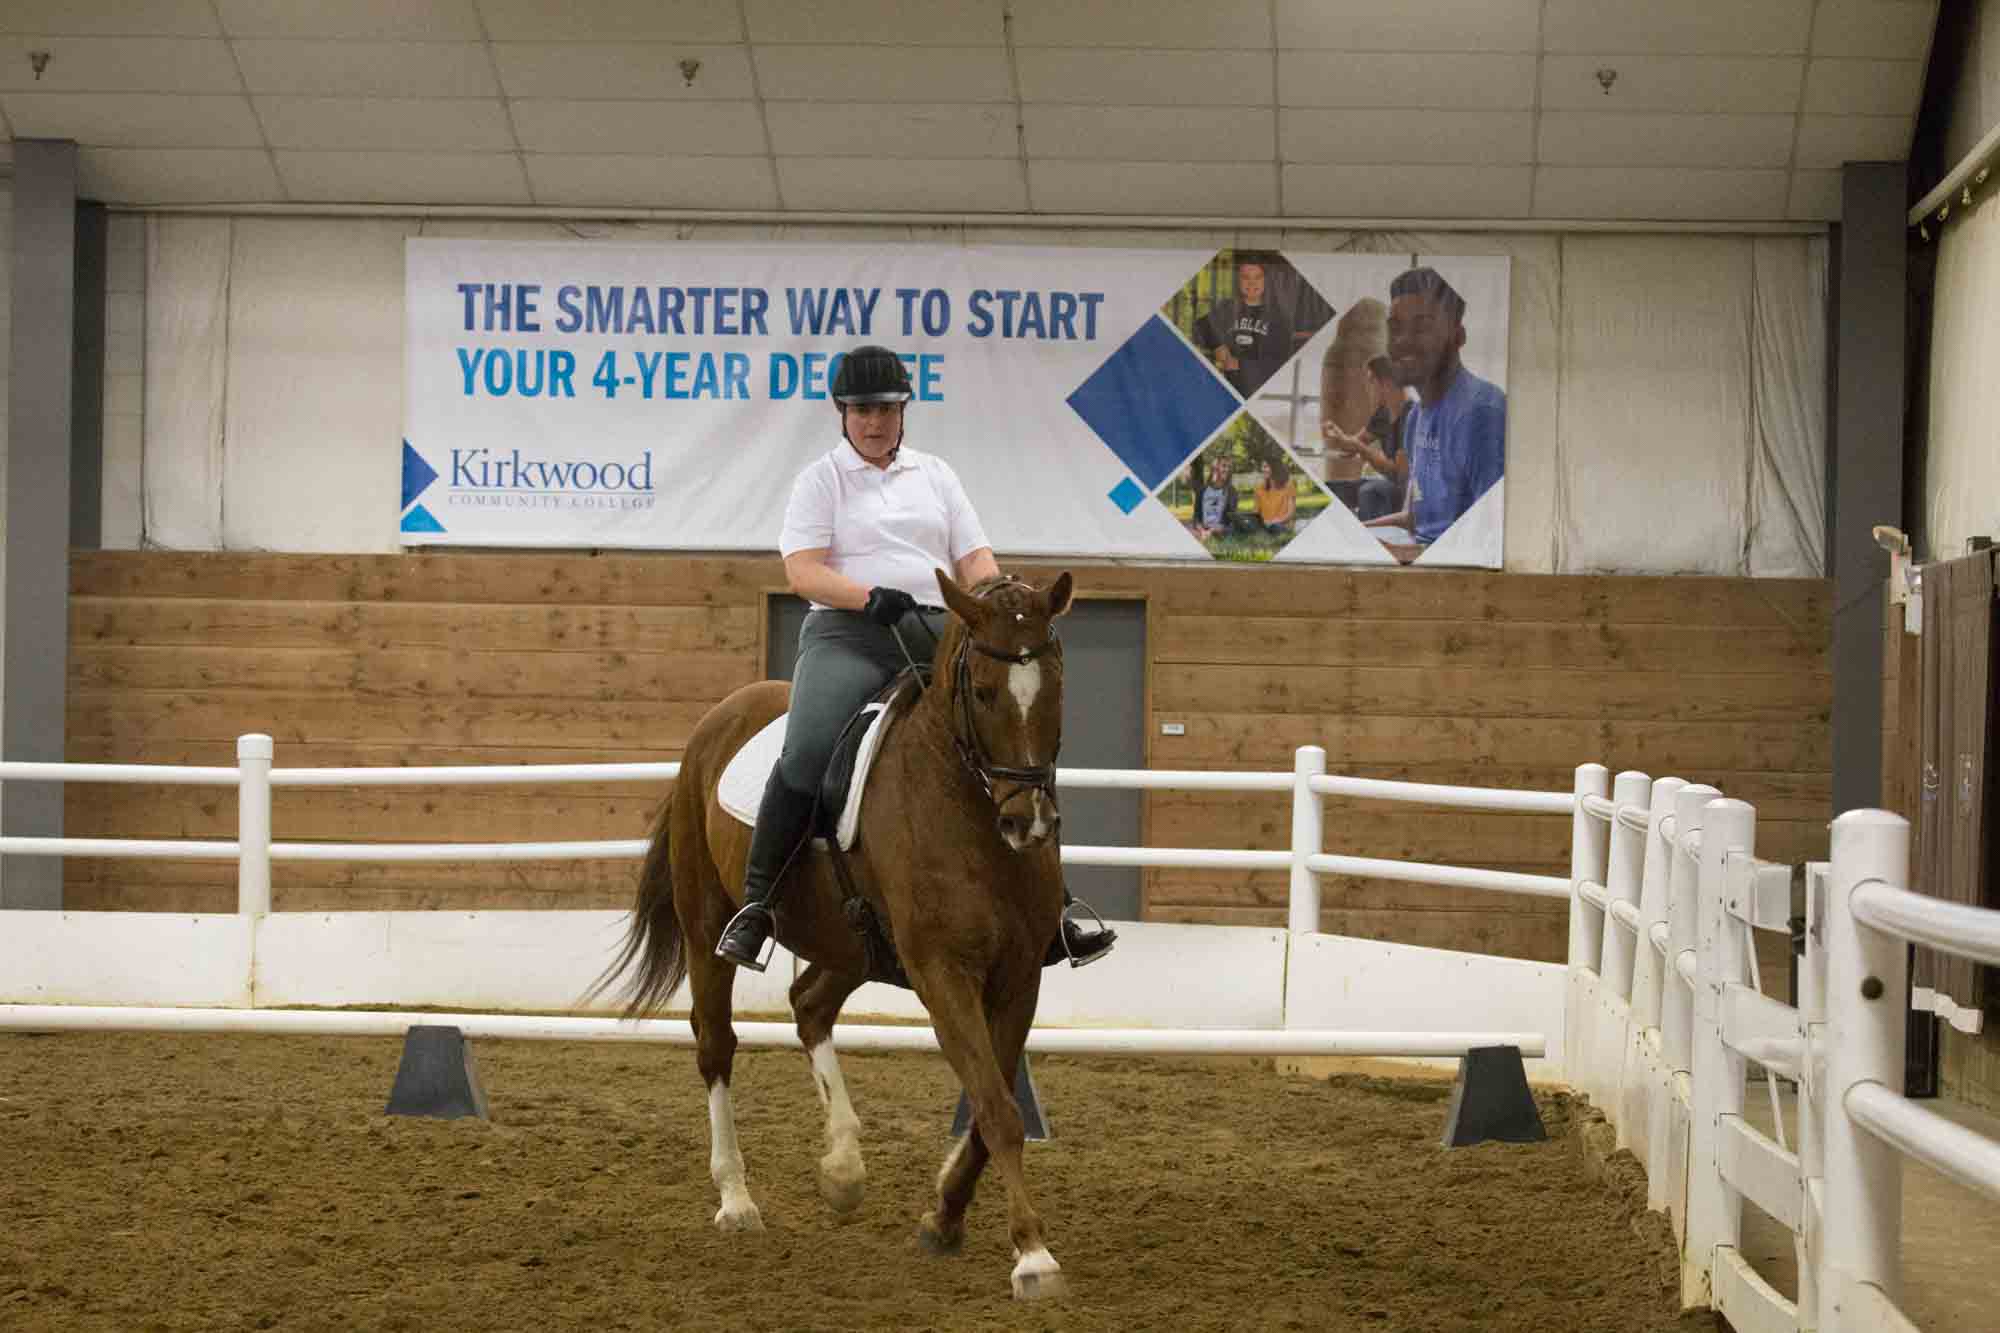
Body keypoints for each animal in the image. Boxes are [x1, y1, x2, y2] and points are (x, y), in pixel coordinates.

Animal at [590, 569, 1076, 1301]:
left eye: (1055, 686)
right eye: (985, 692)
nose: (1030, 822)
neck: (966, 812)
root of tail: (719, 717)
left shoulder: (1020, 977)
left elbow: (993, 1109)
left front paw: (944, 1215)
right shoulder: (943, 971)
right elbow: (996, 1107)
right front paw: (1033, 1256)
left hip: (851, 944)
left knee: (809, 1006)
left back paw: (843, 1168)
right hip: (708, 930)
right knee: (716, 1044)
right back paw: (737, 1199)